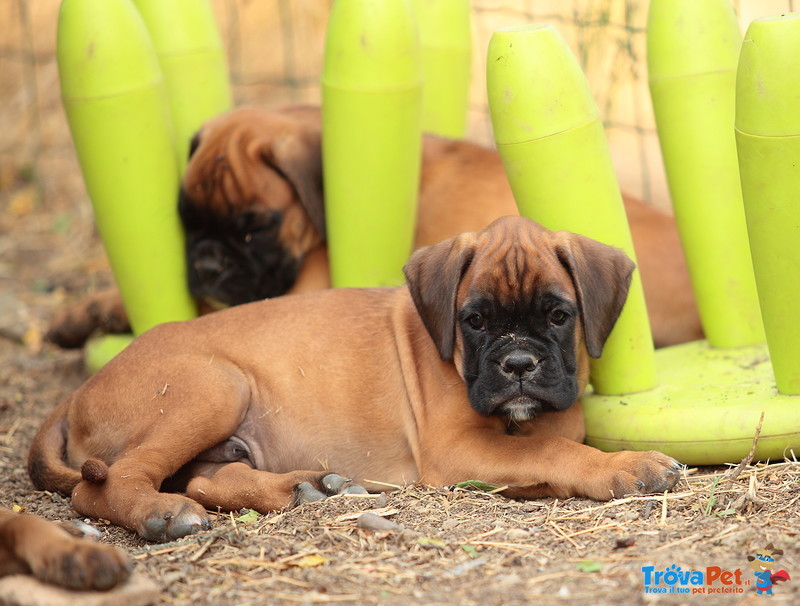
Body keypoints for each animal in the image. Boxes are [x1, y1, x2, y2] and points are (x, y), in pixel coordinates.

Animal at [31, 220, 680, 548]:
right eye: (474, 321)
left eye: (558, 316)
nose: (519, 364)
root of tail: (78, 392)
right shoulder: (457, 450)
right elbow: (552, 450)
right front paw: (630, 466)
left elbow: (553, 443)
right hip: (213, 388)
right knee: (105, 484)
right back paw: (161, 515)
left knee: (207, 477)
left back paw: (305, 487)